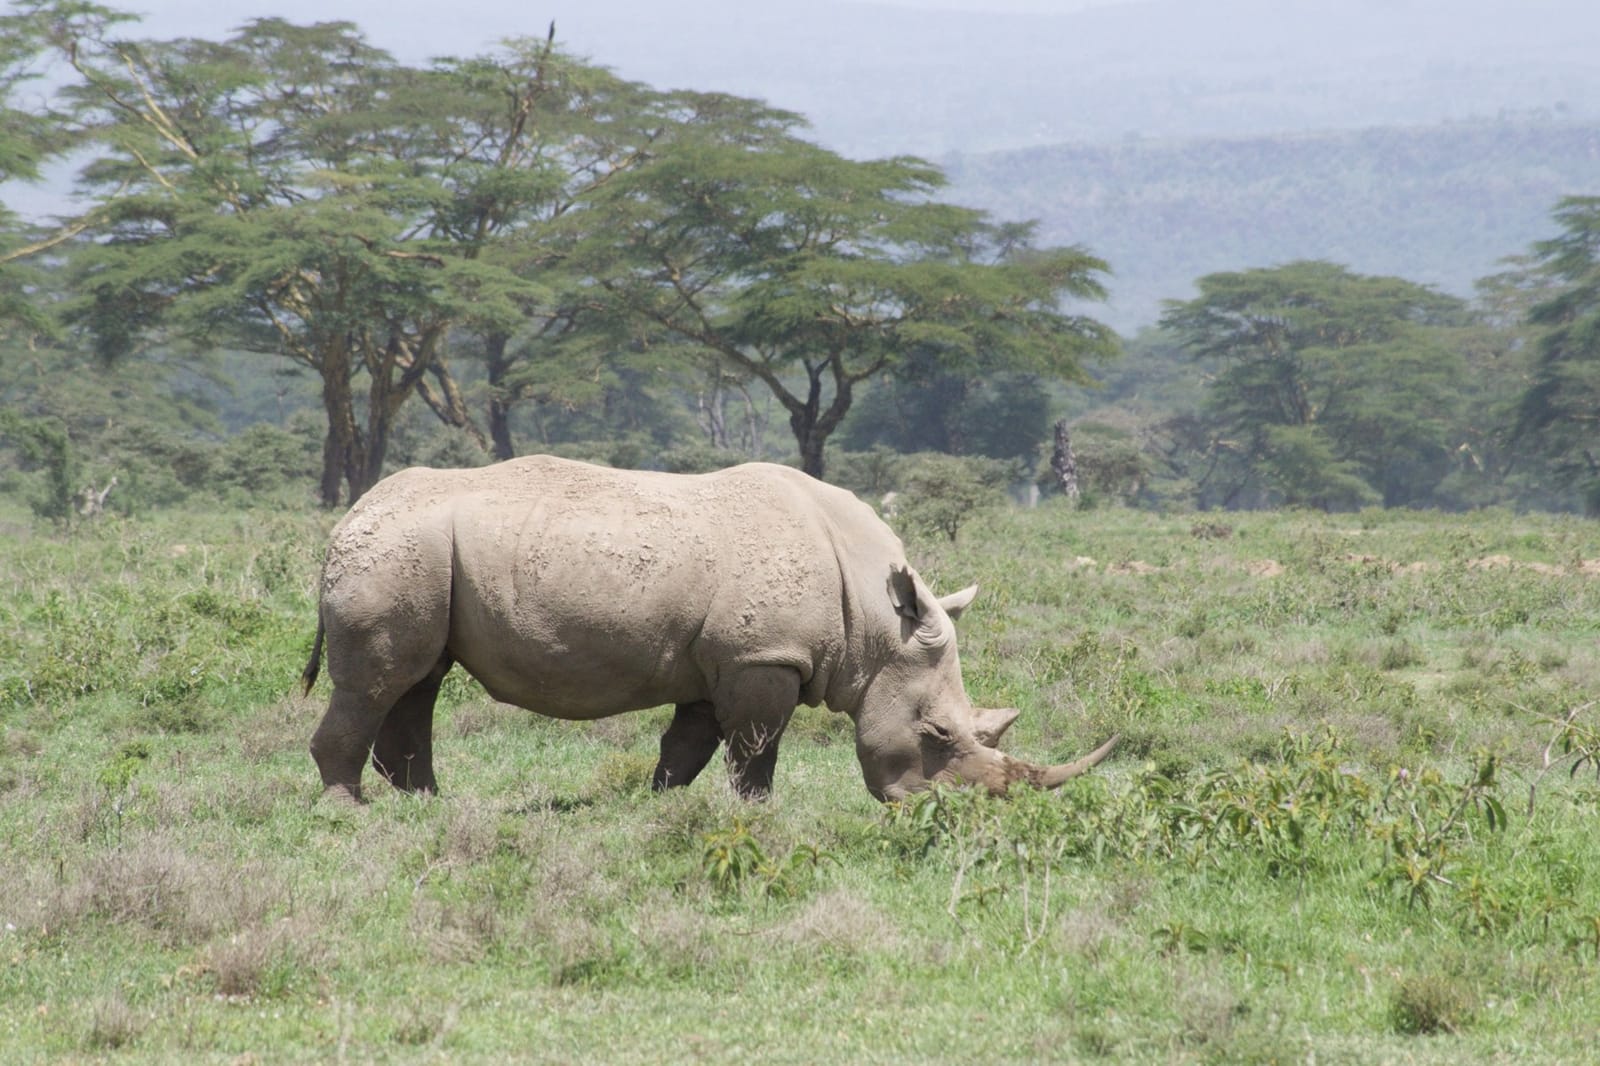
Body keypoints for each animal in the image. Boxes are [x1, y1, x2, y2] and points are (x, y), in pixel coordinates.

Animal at [301, 455, 1117, 803]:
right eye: (938, 735)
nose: (952, 812)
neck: (873, 623)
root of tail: (348, 520)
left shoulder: (723, 657)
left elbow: (688, 744)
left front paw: (658, 804)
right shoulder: (765, 656)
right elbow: (755, 748)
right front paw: (754, 813)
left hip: (416, 552)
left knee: (419, 679)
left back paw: (425, 807)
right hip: (395, 551)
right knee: (378, 681)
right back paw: (352, 811)